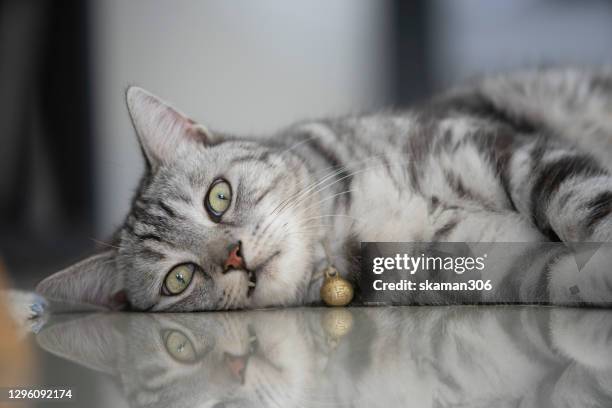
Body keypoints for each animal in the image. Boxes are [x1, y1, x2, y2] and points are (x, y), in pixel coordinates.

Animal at [34, 67, 612, 310]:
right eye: (178, 279)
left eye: (218, 198)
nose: (235, 257)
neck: (352, 231)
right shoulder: (493, 265)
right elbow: (562, 280)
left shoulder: (498, 148)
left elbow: (580, 201)